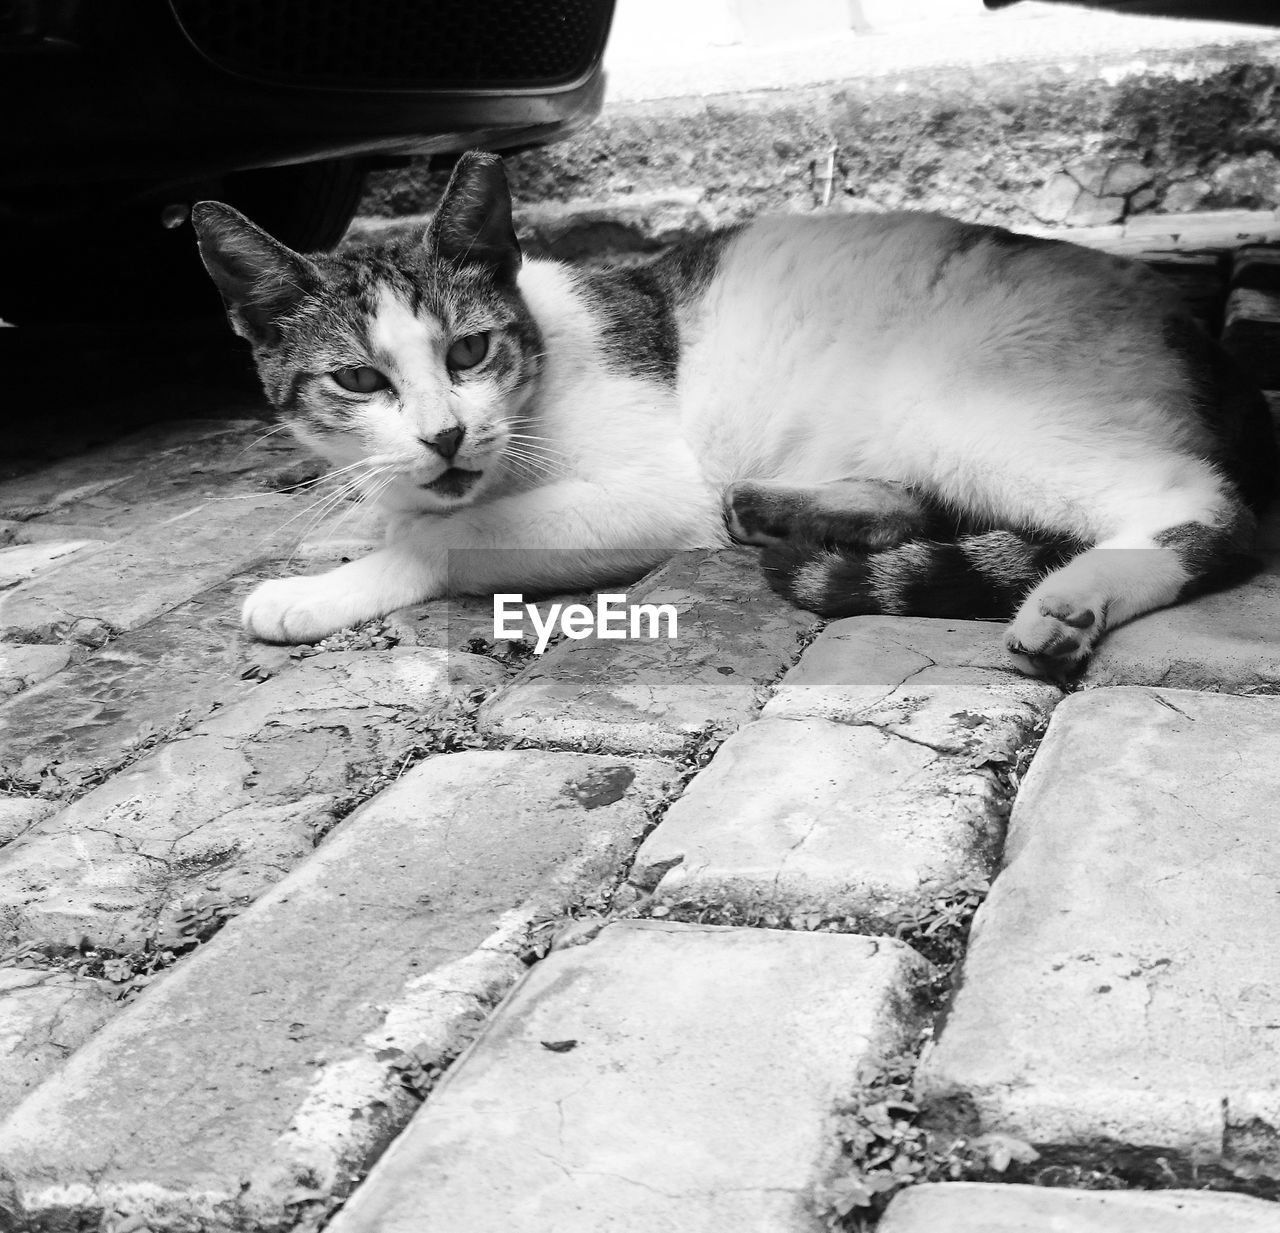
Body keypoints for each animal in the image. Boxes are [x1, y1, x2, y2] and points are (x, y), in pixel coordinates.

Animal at [192, 151, 1280, 686]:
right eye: (358, 379)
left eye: (468, 353)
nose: (444, 436)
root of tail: (1189, 322)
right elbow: (398, 505)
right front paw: (372, 515)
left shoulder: (651, 490)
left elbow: (454, 536)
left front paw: (322, 586)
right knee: (916, 507)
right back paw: (782, 509)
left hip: (958, 405)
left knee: (1206, 505)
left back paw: (1070, 598)